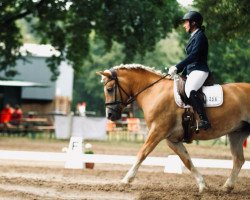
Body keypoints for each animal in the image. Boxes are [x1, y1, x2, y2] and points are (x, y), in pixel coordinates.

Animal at [97, 63, 250, 192]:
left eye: (109, 89)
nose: (110, 115)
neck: (154, 91)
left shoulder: (157, 131)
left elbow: (142, 153)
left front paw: (126, 180)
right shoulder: (172, 140)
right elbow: (186, 160)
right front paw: (202, 185)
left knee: (238, 160)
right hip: (236, 134)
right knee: (239, 160)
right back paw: (227, 187)